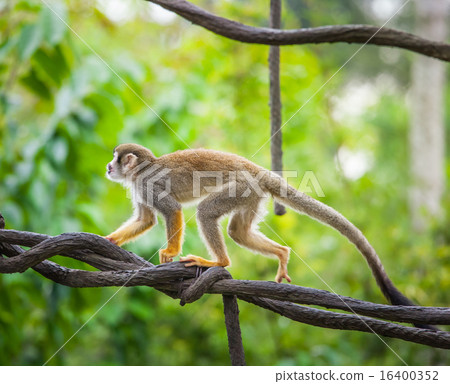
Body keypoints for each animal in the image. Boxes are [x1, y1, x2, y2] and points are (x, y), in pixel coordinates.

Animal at [104, 142, 414, 308]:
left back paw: (220, 262)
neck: (140, 172)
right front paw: (109, 240)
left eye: (115, 158)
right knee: (237, 231)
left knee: (206, 212)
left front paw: (170, 251)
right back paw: (281, 254)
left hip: (240, 186)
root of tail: (256, 170)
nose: (108, 167)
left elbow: (172, 210)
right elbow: (146, 219)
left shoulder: (149, 185)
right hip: (251, 193)